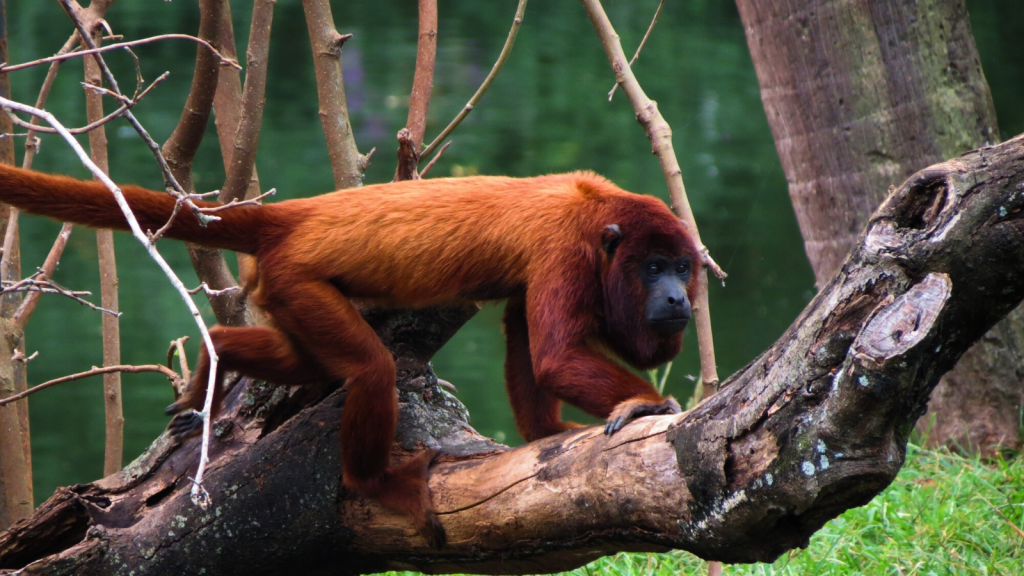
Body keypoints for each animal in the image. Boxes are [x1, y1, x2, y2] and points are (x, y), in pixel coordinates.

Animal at [0, 162, 696, 545]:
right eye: (653, 267)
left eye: (684, 267)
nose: (679, 297)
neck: (599, 219)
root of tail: (288, 219)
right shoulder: (565, 250)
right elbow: (552, 353)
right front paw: (646, 403)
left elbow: (527, 337)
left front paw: (545, 435)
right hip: (296, 280)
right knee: (369, 369)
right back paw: (376, 482)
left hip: (282, 293)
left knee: (300, 361)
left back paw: (216, 357)